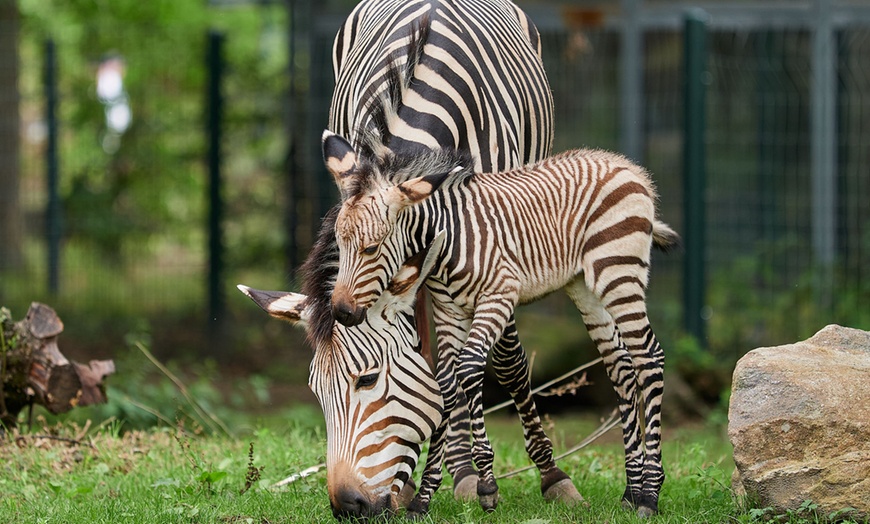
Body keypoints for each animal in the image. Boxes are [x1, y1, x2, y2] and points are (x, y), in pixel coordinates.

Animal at [242, 0, 564, 516]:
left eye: (368, 380)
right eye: (316, 392)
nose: (346, 506)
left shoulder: (493, 240)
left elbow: (503, 359)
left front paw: (548, 476)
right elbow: (441, 361)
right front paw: (428, 480)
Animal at [328, 138, 680, 516]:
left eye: (370, 248)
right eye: (340, 243)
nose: (341, 312)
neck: (449, 240)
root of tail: (625, 166)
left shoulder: (498, 296)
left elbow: (470, 367)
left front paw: (487, 485)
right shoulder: (450, 312)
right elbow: (446, 386)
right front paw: (423, 497)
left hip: (619, 273)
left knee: (649, 358)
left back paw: (650, 494)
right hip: (586, 286)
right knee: (621, 367)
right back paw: (631, 492)